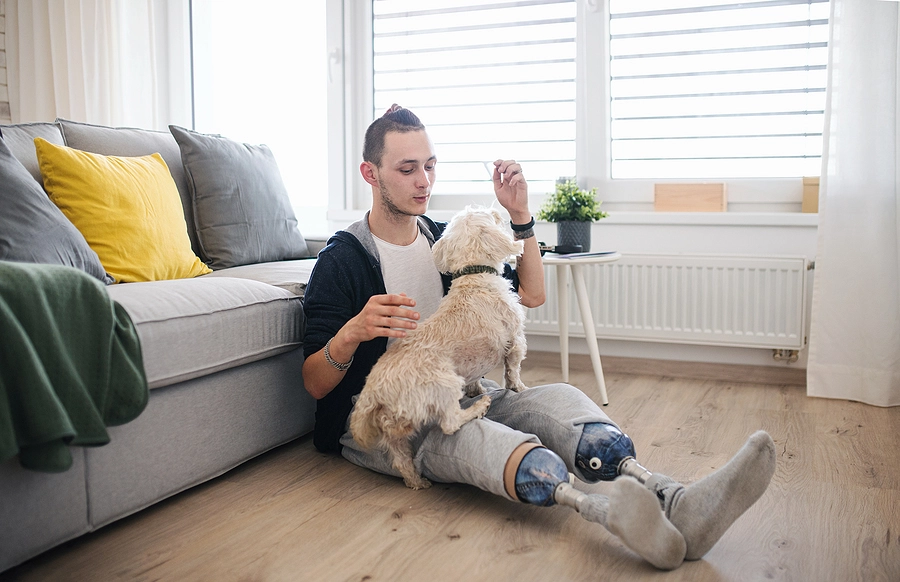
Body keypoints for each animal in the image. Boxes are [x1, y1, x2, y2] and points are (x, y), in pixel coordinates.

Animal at [352, 208, 532, 490]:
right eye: (485, 213)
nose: (496, 210)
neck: (474, 275)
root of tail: (374, 392)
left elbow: (475, 377)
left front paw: (477, 389)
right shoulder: (515, 340)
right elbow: (513, 370)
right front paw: (519, 388)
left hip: (394, 430)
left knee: (401, 459)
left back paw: (417, 481)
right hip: (445, 382)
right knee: (449, 423)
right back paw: (477, 408)